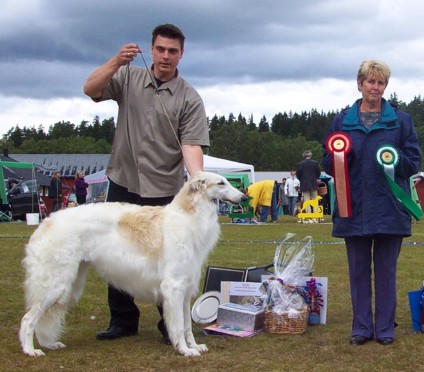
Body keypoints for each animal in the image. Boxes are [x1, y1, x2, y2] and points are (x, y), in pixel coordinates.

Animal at [19, 172, 247, 358]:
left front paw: (195, 346)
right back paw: (30, 350)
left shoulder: (186, 286)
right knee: (28, 319)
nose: (245, 198)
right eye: (221, 182)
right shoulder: (173, 286)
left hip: (72, 283)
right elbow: (178, 326)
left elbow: (187, 325)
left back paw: (49, 344)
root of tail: (45, 223)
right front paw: (184, 350)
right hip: (55, 285)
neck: (187, 215)